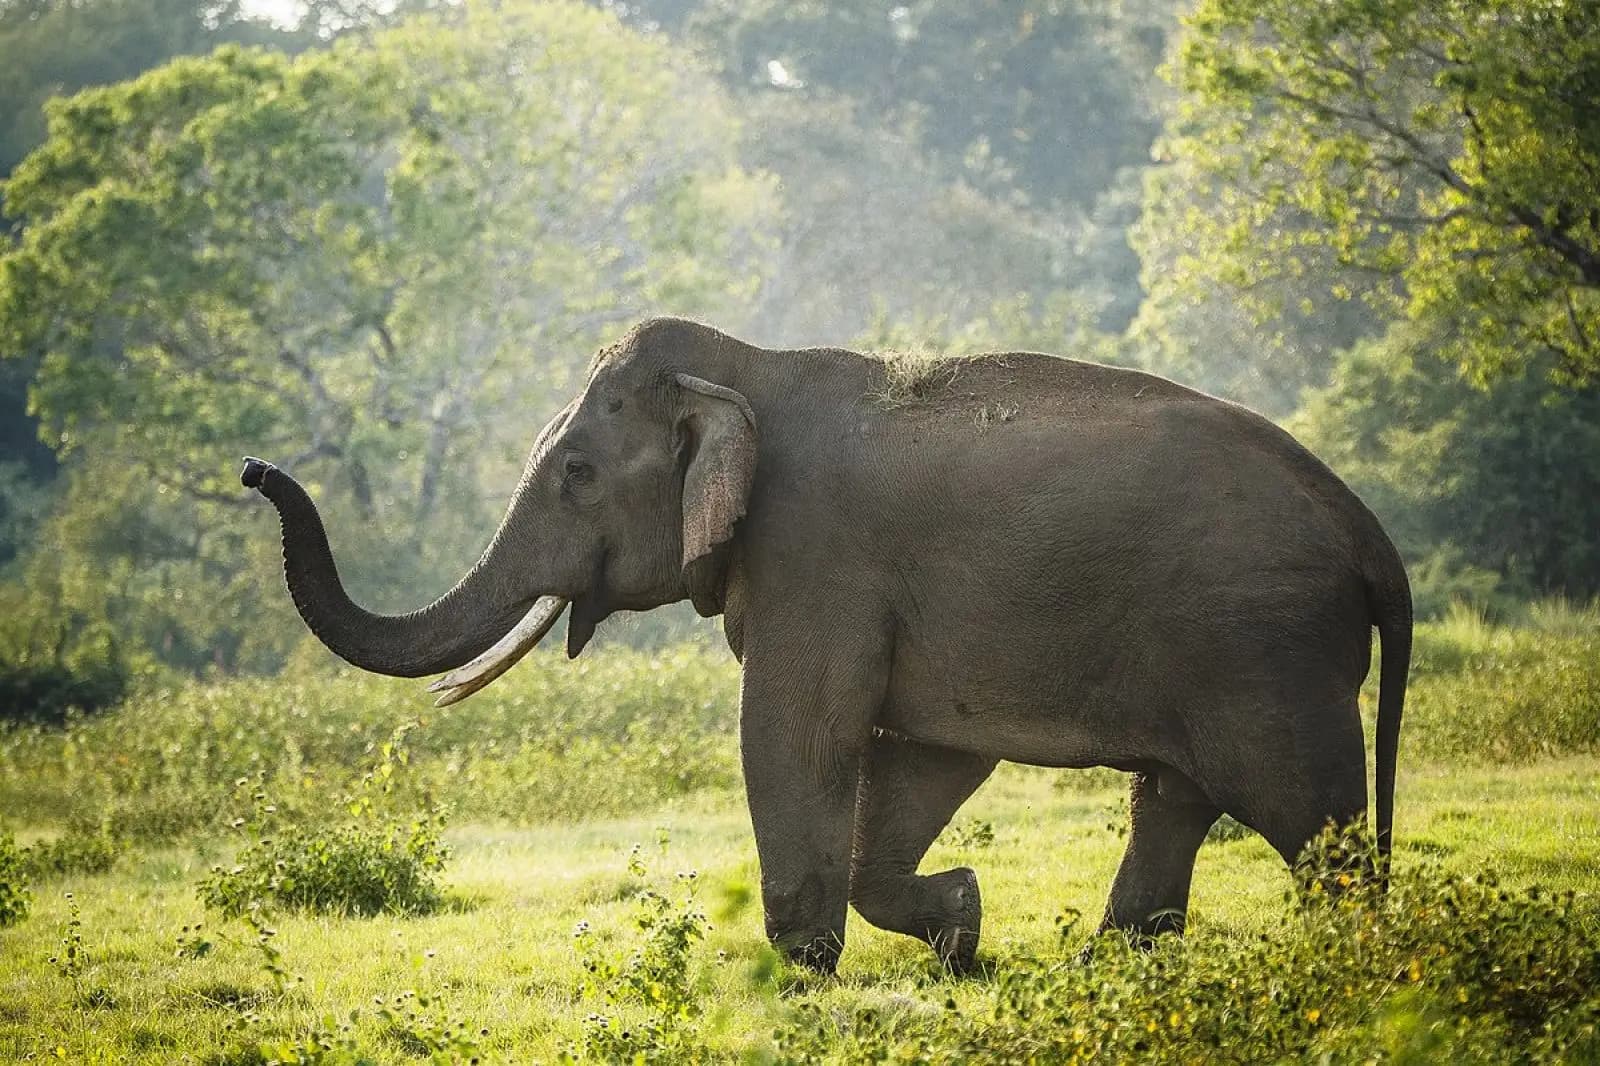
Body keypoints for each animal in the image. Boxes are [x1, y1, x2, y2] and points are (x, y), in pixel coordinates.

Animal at [243, 313, 1408, 973]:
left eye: (575, 473)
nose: (254, 468)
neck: (747, 371)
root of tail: (1369, 532)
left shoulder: (821, 560)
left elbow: (795, 735)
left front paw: (808, 971)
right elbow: (920, 758)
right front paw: (962, 929)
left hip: (1265, 653)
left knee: (1314, 825)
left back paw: (1352, 967)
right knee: (1174, 801)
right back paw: (1110, 974)